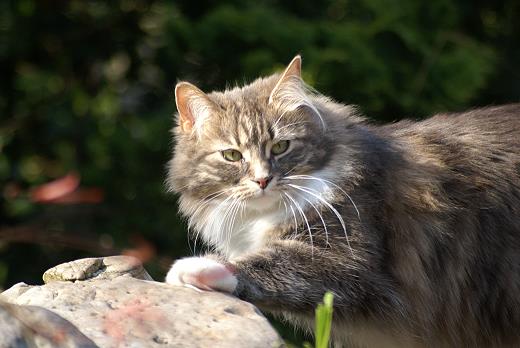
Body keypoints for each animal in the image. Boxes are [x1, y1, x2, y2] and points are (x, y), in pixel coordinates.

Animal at [165, 55, 520, 346]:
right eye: (231, 155)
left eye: (280, 147)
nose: (263, 180)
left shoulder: (348, 261)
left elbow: (270, 264)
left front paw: (199, 268)